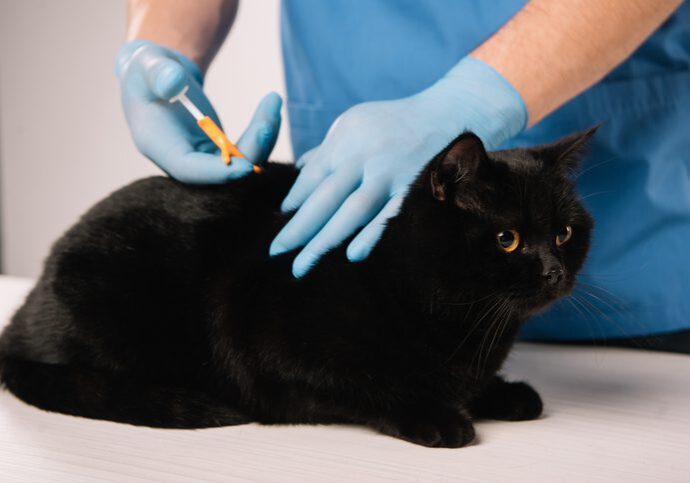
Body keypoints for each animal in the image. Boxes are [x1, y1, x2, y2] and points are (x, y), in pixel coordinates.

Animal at [0, 130, 592, 448]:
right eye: (508, 239)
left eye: (564, 233)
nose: (554, 270)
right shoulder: (273, 356)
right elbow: (369, 387)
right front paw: (437, 416)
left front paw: (503, 393)